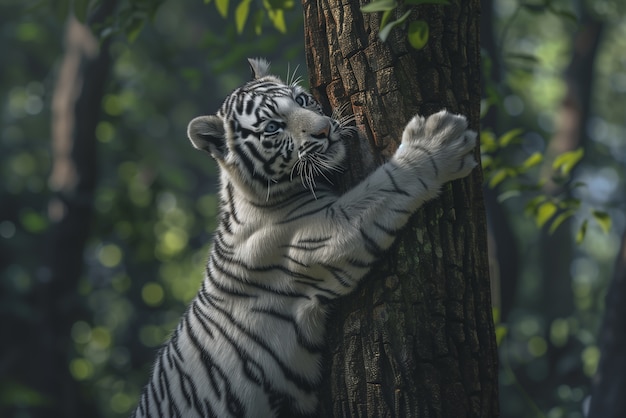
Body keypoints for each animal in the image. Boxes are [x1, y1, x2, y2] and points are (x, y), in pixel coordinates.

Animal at [132, 57, 472, 416]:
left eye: (301, 99)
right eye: (272, 128)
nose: (324, 129)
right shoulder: (325, 232)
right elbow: (386, 184)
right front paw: (440, 140)